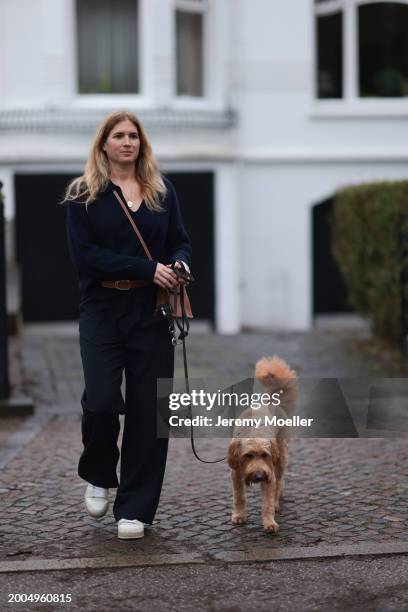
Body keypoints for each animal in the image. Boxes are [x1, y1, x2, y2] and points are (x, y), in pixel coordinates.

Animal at [226, 356, 300, 532]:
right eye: (248, 455)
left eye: (265, 455)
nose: (259, 476)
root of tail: (272, 402)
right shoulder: (236, 475)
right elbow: (239, 497)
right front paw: (239, 515)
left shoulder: (269, 474)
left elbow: (267, 503)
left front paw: (269, 522)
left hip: (280, 459)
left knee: (279, 482)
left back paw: (276, 501)